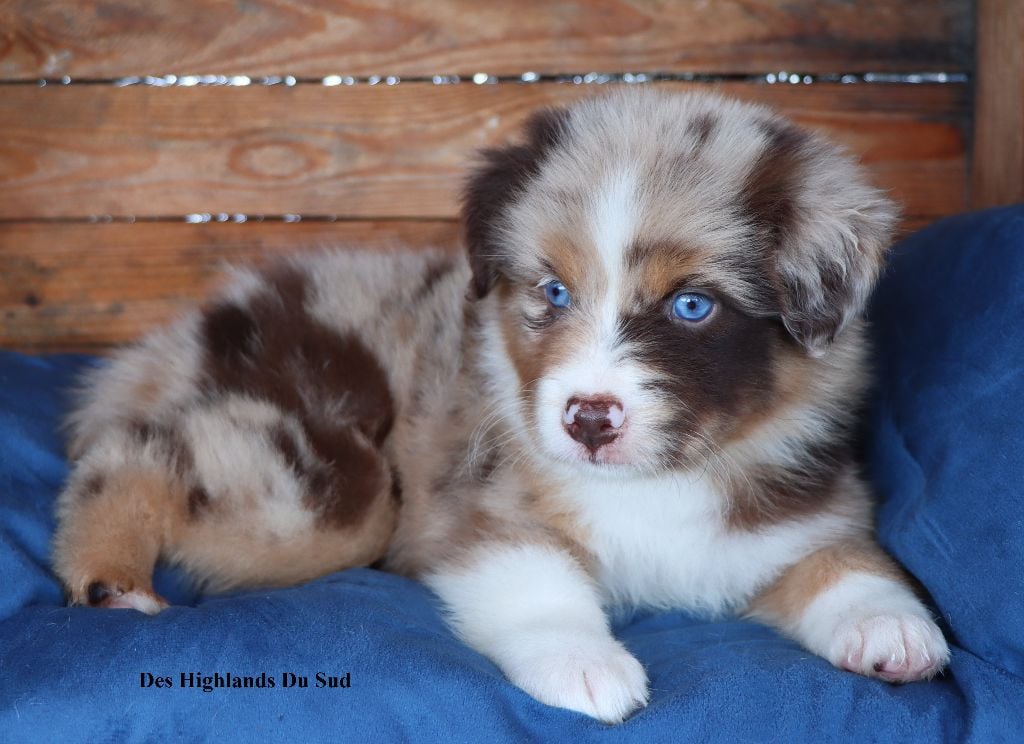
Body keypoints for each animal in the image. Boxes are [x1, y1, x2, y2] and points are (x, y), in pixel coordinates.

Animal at [53, 90, 949, 723]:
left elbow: (841, 556)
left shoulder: (796, 510)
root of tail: (184, 333)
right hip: (325, 489)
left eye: (692, 306)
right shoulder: (474, 507)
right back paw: (110, 575)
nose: (587, 419)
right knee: (134, 453)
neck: (658, 482)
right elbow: (537, 580)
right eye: (553, 292)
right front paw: (584, 664)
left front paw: (891, 625)